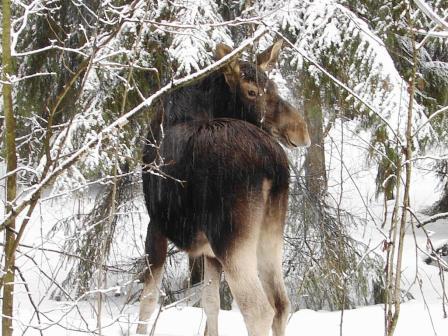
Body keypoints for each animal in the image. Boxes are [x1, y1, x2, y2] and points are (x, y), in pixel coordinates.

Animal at [138, 40, 310, 336]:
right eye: (253, 91)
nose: (301, 131)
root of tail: (273, 165)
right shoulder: (208, 251)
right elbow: (210, 302)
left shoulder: (157, 224)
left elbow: (148, 302)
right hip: (270, 234)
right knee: (281, 304)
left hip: (232, 239)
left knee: (258, 310)